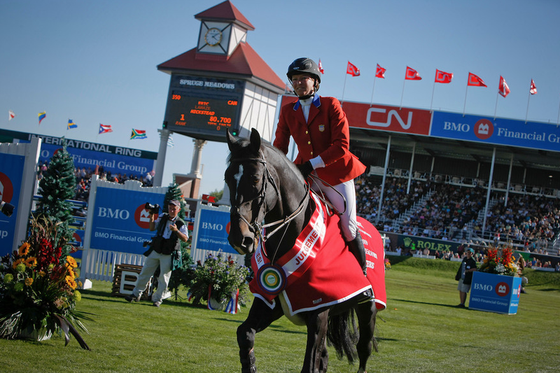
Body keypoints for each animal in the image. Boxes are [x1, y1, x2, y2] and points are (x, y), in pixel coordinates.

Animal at [224, 129, 384, 372]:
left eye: (255, 178)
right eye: (226, 178)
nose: (239, 238)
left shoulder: (319, 314)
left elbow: (309, 363)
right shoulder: (270, 300)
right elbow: (245, 334)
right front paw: (249, 364)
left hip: (368, 309)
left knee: (363, 349)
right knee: (325, 357)